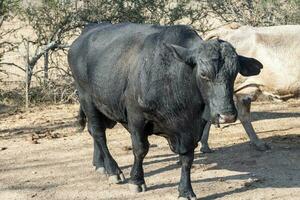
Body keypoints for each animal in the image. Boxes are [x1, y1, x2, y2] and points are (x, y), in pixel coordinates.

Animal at [67, 22, 260, 199]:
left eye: (234, 73)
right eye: (204, 74)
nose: (226, 115)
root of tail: (86, 32)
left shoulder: (191, 129)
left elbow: (187, 158)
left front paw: (186, 190)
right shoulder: (136, 116)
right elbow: (140, 149)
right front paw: (136, 181)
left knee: (93, 131)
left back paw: (99, 164)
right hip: (87, 99)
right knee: (98, 133)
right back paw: (113, 170)